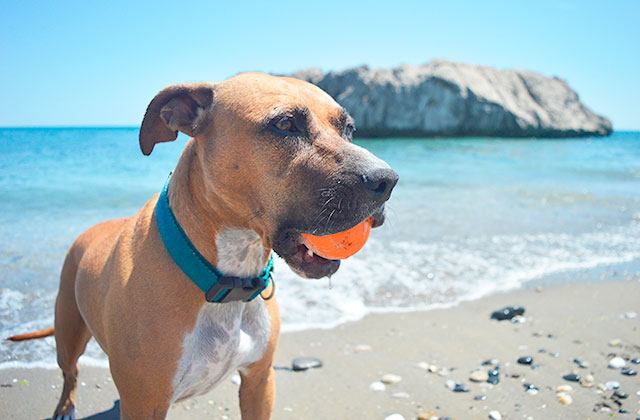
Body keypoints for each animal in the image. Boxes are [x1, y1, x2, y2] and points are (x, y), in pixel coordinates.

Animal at [10, 74, 398, 418]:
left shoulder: (259, 383)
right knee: (70, 373)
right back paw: (65, 407)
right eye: (286, 124)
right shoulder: (145, 402)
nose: (387, 179)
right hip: (68, 330)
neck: (228, 276)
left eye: (349, 128)